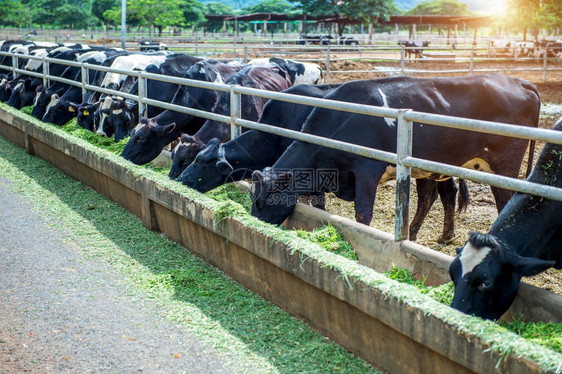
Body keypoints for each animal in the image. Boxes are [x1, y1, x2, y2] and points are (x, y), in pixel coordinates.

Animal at [248, 74, 540, 229]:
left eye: (262, 202)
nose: (252, 224)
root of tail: (519, 82)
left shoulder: (367, 170)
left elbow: (362, 214)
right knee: (431, 198)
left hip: (505, 165)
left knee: (504, 203)